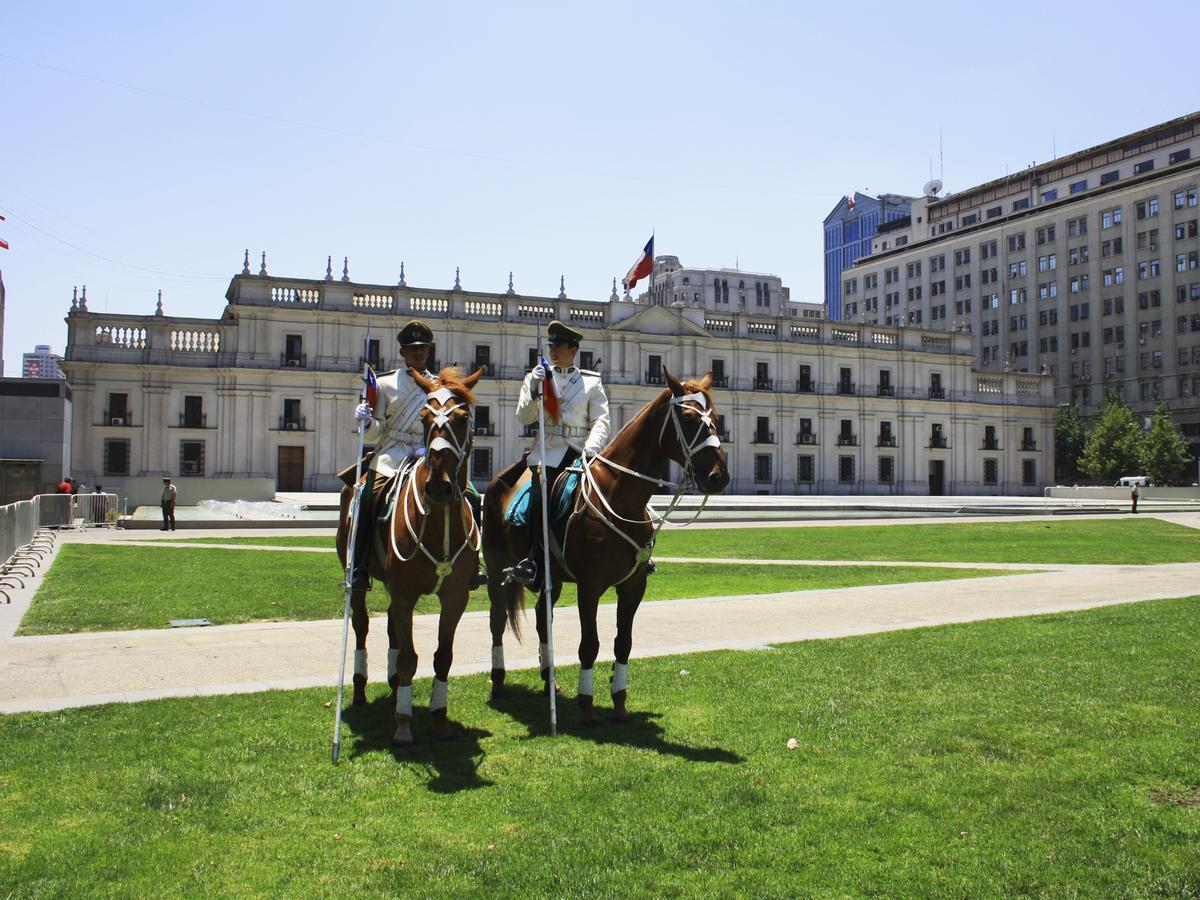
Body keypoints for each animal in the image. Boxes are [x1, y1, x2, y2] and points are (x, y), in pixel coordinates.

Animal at [333, 367, 482, 748]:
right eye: (425, 418)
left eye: (463, 418)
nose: (439, 486)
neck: (440, 521)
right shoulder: (404, 594)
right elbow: (409, 660)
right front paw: (403, 725)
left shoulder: (454, 597)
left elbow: (442, 657)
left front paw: (440, 718)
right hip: (356, 576)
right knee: (361, 625)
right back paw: (359, 689)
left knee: (389, 627)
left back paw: (390, 684)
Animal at [480, 367, 724, 724]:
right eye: (690, 419)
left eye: (716, 418)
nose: (720, 476)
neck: (620, 497)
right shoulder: (589, 586)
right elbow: (589, 644)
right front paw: (586, 706)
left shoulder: (634, 585)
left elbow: (623, 642)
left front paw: (619, 702)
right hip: (498, 567)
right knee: (497, 619)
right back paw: (498, 682)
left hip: (551, 578)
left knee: (541, 618)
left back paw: (549, 680)